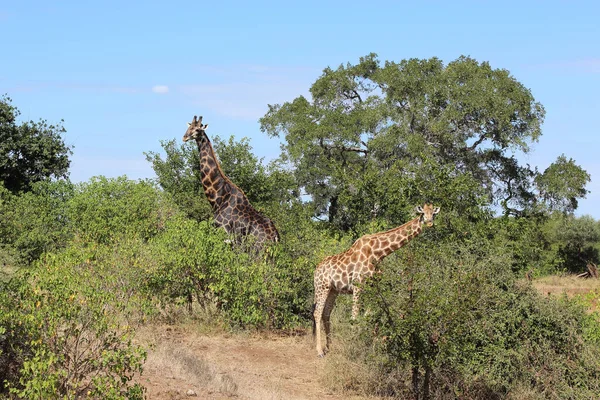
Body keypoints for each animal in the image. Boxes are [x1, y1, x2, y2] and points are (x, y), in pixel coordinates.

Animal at [182, 115, 280, 245]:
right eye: (189, 127)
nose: (184, 137)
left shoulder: (225, 236)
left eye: (197, 129)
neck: (218, 199)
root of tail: (275, 237)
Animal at [314, 203, 440, 356]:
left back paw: (329, 347)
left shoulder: (374, 288)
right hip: (322, 287)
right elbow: (354, 317)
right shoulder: (358, 286)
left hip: (333, 290)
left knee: (326, 314)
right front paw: (354, 346)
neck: (378, 254)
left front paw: (372, 348)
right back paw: (319, 350)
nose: (430, 223)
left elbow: (371, 316)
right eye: (423, 214)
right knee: (317, 313)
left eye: (433, 214)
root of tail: (315, 271)